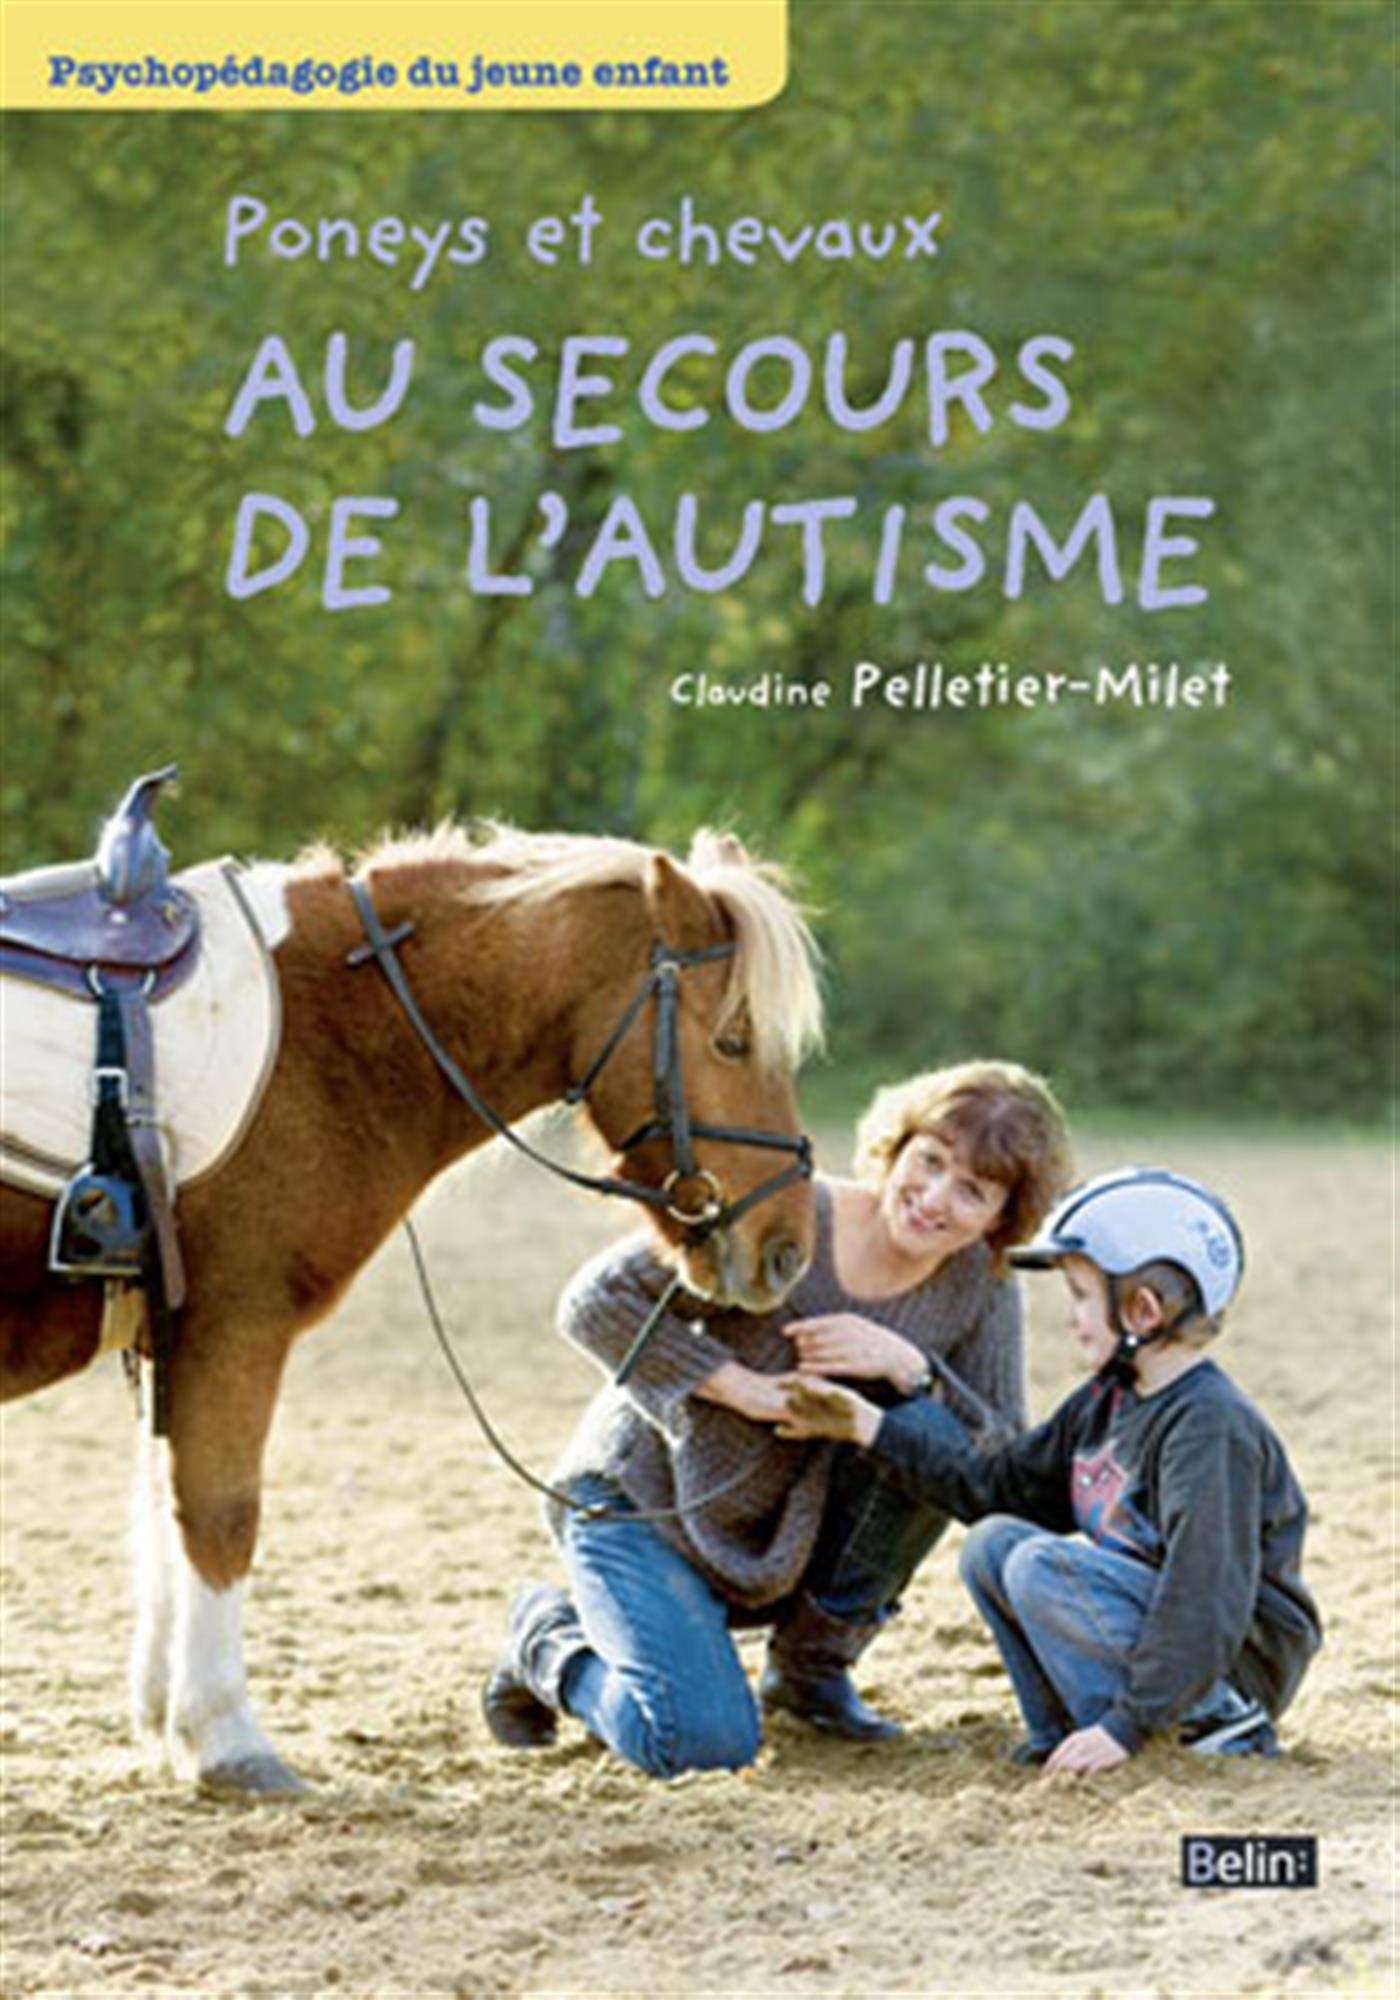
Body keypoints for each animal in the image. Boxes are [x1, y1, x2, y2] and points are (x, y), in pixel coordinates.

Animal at [0, 819, 824, 1797]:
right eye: (733, 1041)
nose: (787, 1248)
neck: (328, 1025)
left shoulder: (170, 1341)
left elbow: (163, 1516)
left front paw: (168, 1722)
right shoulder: (234, 1328)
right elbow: (220, 1517)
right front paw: (226, 1738)